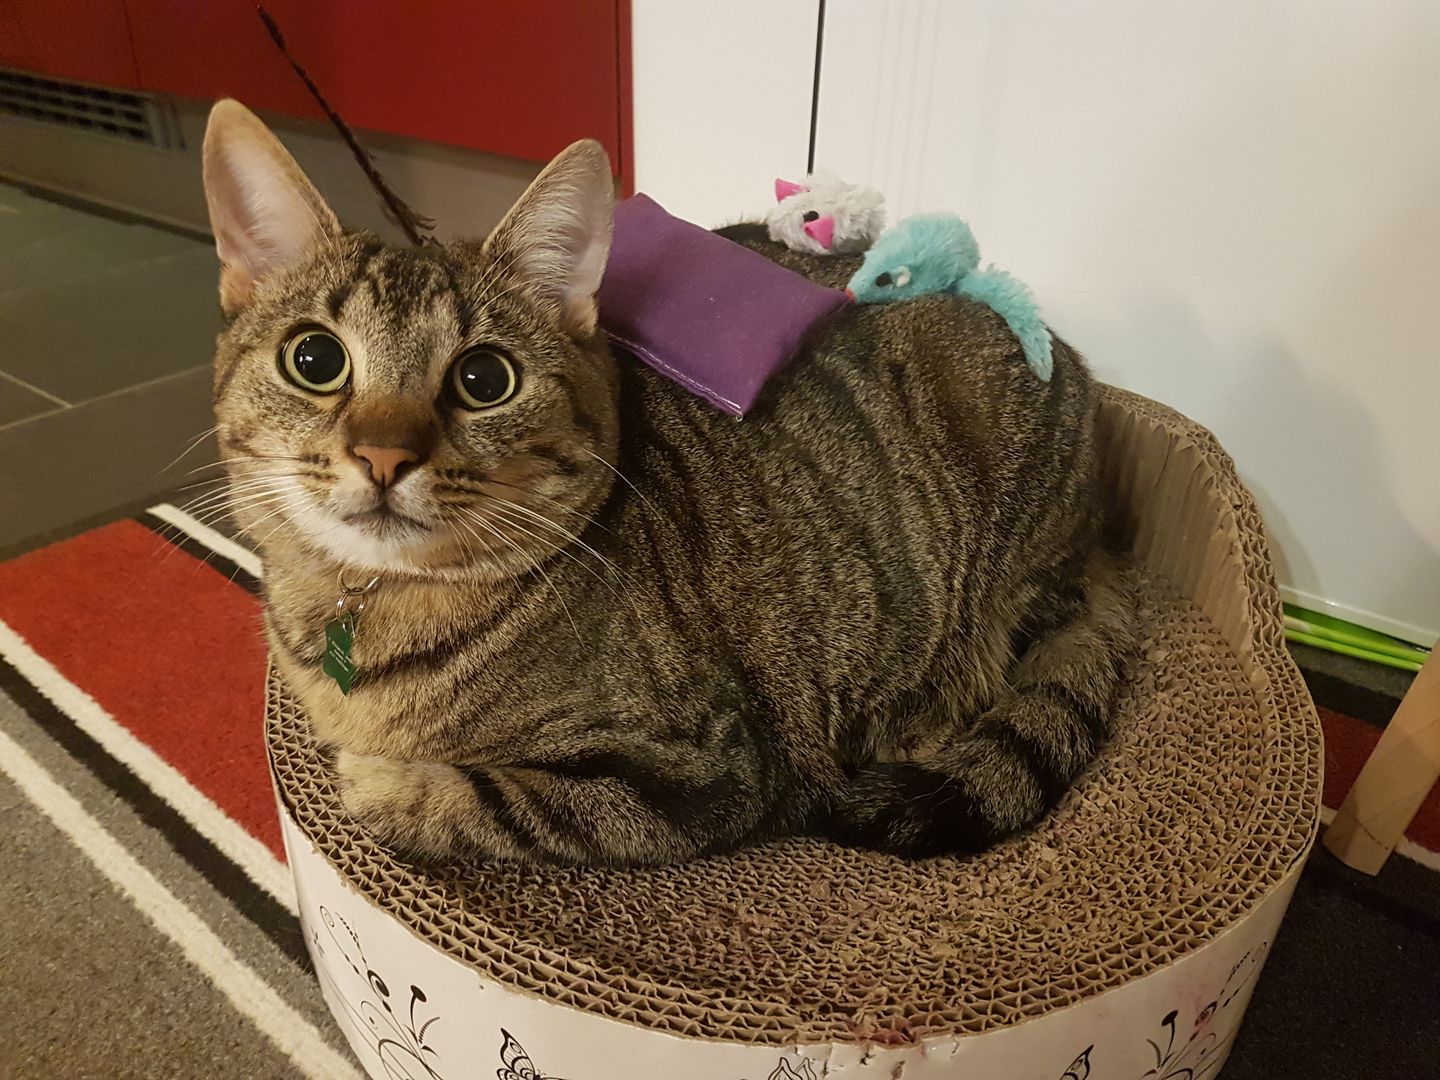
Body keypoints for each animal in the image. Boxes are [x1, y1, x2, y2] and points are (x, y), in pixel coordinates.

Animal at [201, 99, 1136, 867]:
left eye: (484, 380)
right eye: (314, 360)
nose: (384, 457)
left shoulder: (711, 767)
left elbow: (506, 799)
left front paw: (387, 783)